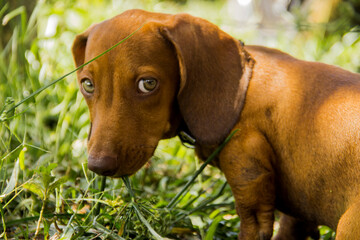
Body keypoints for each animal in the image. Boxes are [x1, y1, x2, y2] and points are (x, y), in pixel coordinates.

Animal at [71, 9, 360, 240]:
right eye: (87, 85)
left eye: (148, 84)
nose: (98, 166)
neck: (242, 88)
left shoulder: (247, 166)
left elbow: (253, 224)